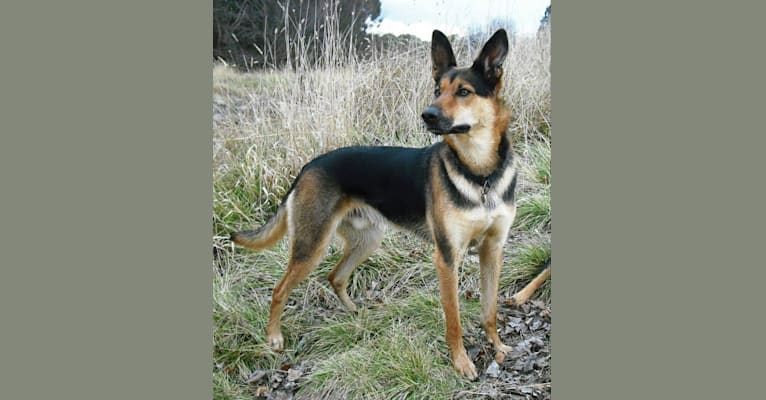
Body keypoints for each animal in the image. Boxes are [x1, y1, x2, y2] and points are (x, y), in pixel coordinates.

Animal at [232, 28, 552, 378]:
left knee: (335, 277)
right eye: (437, 90)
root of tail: (308, 166)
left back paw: (355, 312)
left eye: (464, 91)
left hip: (367, 239)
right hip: (311, 245)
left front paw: (498, 347)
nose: (427, 115)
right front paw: (461, 362)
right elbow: (453, 320)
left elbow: (489, 309)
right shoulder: (447, 258)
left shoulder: (492, 249)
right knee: (280, 290)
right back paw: (274, 338)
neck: (480, 173)